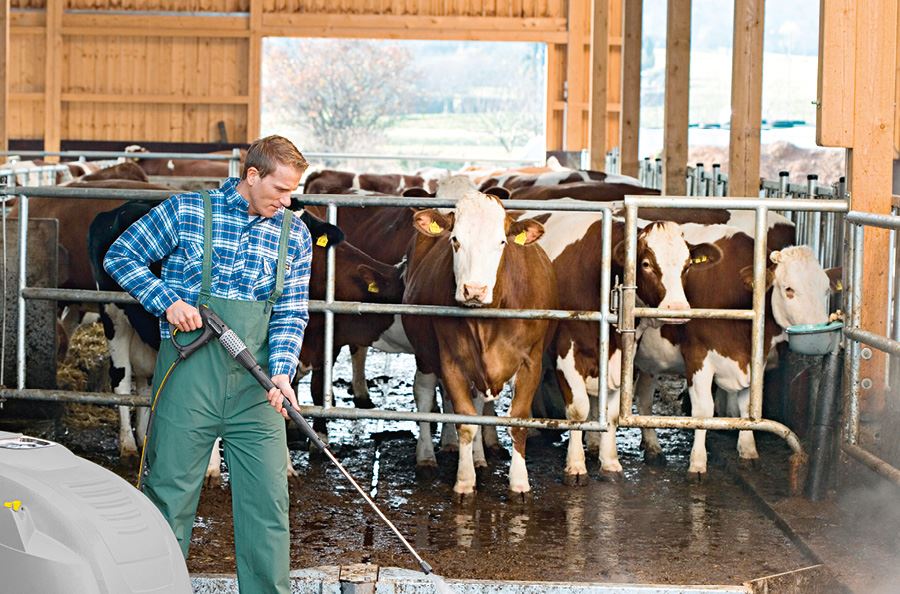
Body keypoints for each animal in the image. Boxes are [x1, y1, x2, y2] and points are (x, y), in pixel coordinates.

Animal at [400, 173, 556, 498]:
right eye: (455, 240)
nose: (474, 290)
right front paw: (464, 481)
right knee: (424, 393)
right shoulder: (450, 359)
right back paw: (427, 457)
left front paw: (519, 482)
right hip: (424, 352)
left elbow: (516, 420)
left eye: (501, 242)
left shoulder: (531, 362)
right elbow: (465, 420)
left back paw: (478, 457)